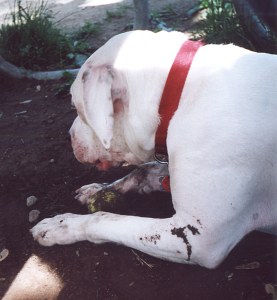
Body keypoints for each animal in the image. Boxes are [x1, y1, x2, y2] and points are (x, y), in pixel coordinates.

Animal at [31, 30, 276, 268]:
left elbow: (102, 217)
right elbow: (141, 171)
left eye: (75, 107)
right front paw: (97, 189)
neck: (180, 97)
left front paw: (62, 225)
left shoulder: (196, 238)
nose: (68, 136)